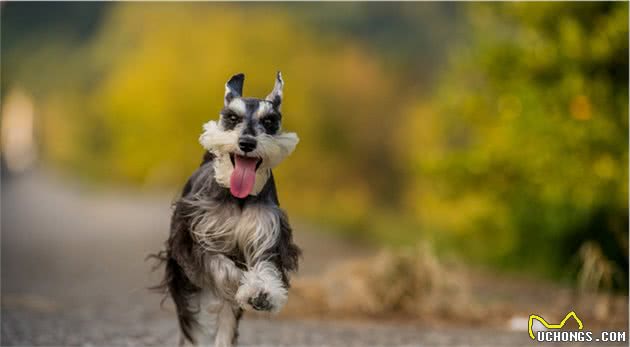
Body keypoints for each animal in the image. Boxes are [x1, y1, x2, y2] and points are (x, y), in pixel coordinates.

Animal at [152, 72, 302, 346]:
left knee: (227, 318)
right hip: (180, 275)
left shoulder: (267, 235)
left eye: (269, 120)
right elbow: (222, 268)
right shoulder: (194, 240)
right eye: (232, 117)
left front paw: (262, 291)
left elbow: (265, 267)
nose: (246, 142)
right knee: (191, 318)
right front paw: (244, 285)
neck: (238, 197)